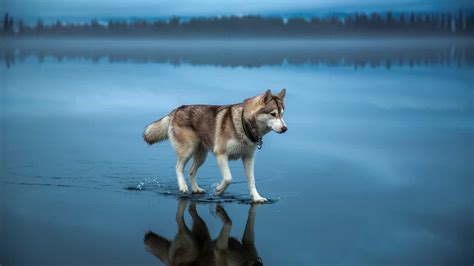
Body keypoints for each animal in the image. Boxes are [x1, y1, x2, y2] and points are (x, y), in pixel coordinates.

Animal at [143, 88, 286, 203]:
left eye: (282, 114)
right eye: (273, 114)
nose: (285, 128)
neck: (243, 124)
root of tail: (177, 109)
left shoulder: (248, 158)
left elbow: (252, 181)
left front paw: (257, 198)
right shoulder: (221, 154)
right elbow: (228, 178)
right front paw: (219, 190)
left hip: (201, 156)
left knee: (191, 171)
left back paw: (196, 189)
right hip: (188, 149)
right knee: (178, 167)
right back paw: (183, 186)